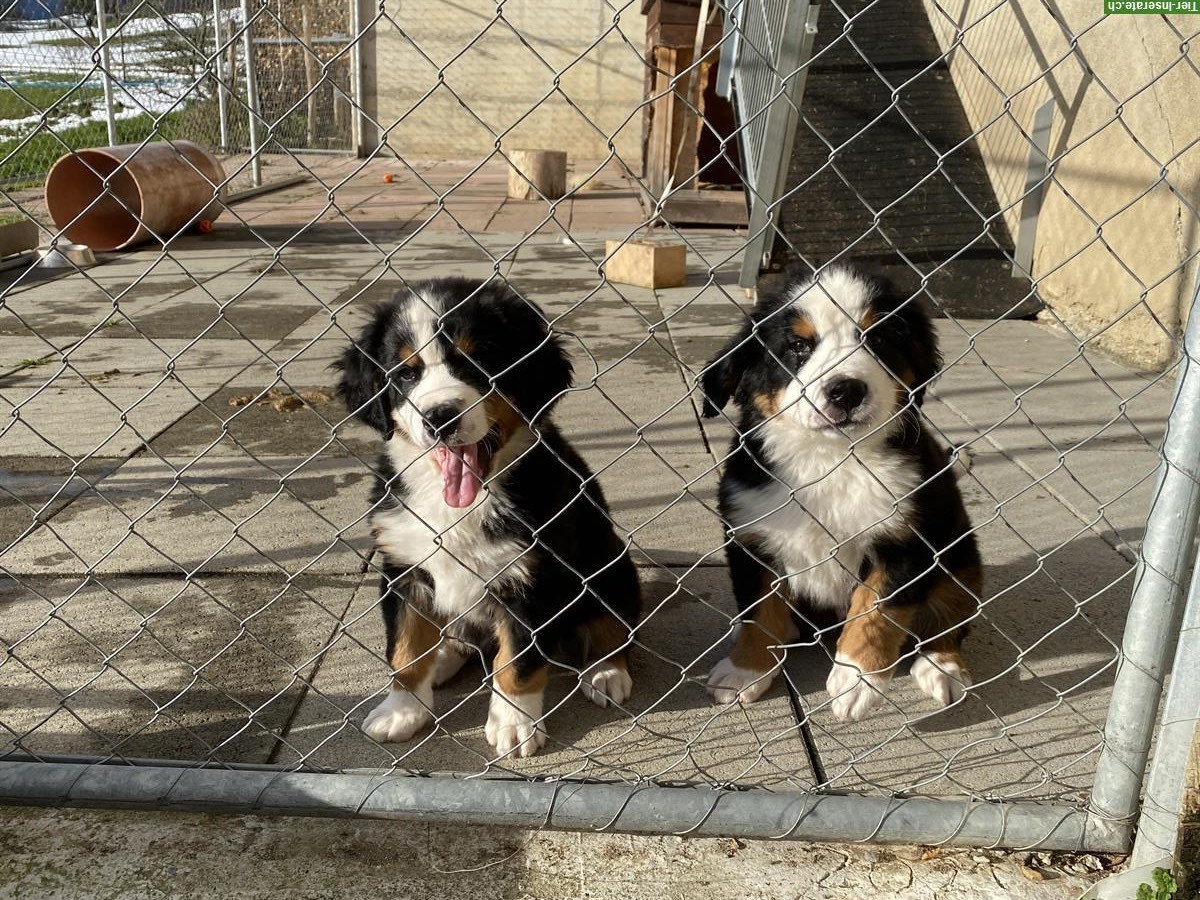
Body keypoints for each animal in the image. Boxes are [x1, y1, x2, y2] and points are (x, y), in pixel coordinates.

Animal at [333, 278, 643, 758]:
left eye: (478, 362)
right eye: (406, 374)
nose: (439, 417)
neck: (461, 503)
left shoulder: (534, 579)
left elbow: (515, 661)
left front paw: (514, 724)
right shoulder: (404, 568)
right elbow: (406, 649)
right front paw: (402, 711)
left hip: (611, 564)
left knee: (615, 623)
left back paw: (606, 672)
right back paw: (445, 658)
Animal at [700, 264, 979, 724]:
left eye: (879, 339)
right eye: (798, 346)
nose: (846, 390)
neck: (829, 461)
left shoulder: (905, 540)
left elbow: (876, 611)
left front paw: (856, 680)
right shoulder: (750, 534)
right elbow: (759, 612)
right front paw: (745, 670)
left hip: (959, 555)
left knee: (951, 617)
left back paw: (943, 669)